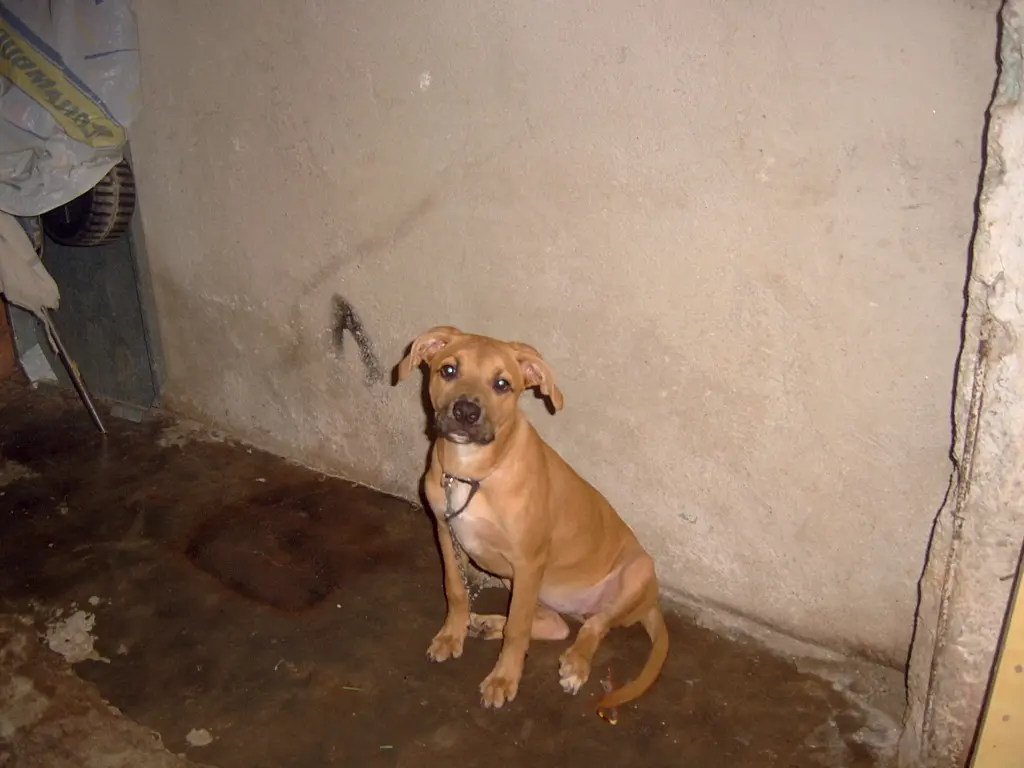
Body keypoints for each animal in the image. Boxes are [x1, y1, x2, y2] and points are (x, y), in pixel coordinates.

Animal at [397, 326, 668, 711]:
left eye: (502, 384)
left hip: (636, 572)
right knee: (557, 625)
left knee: (593, 625)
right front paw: (452, 635)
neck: (474, 471)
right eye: (448, 370)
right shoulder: (446, 534)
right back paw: (488, 624)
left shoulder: (528, 561)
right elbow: (456, 590)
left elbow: (518, 630)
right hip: (523, 584)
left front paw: (503, 679)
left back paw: (576, 663)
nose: (465, 411)